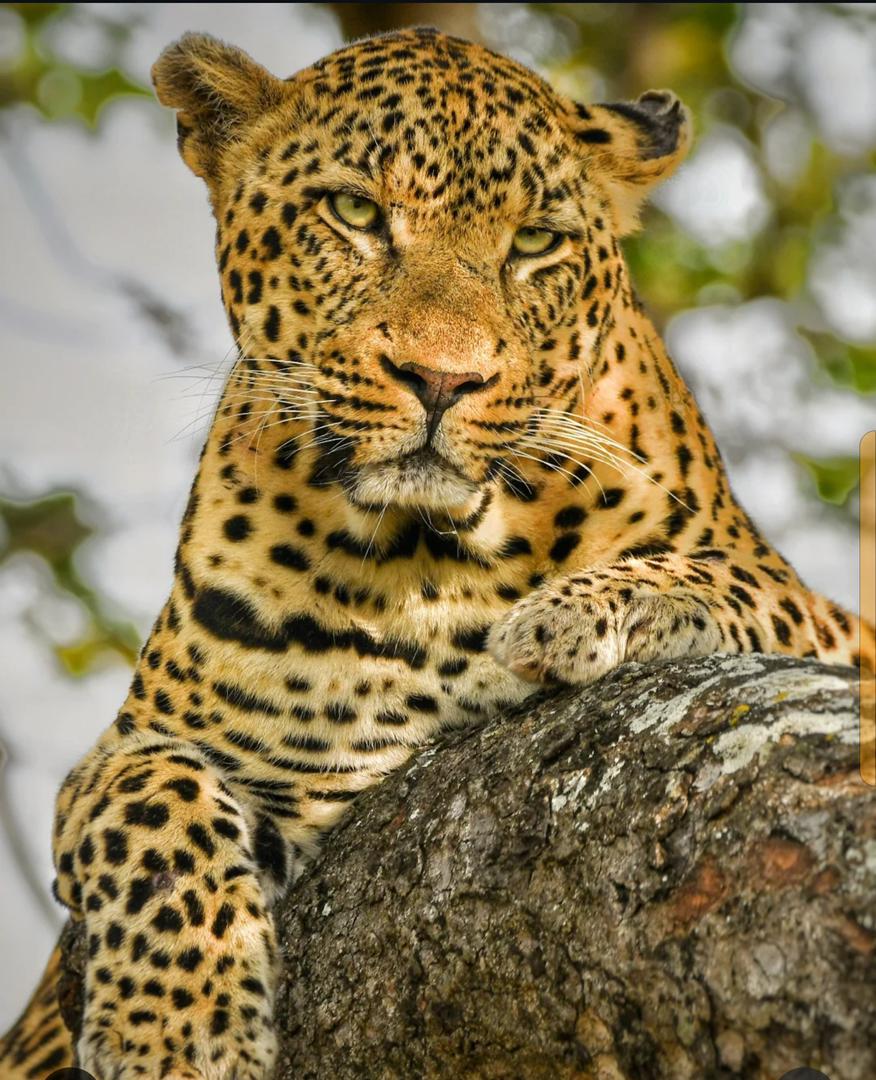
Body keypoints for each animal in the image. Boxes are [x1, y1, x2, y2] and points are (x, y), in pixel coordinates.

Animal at [2, 25, 872, 1080]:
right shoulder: (140, 749)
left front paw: (581, 612)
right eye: (354, 212)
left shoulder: (832, 622)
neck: (428, 564)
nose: (441, 378)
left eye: (534, 242)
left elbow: (736, 577)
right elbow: (152, 809)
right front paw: (177, 1031)